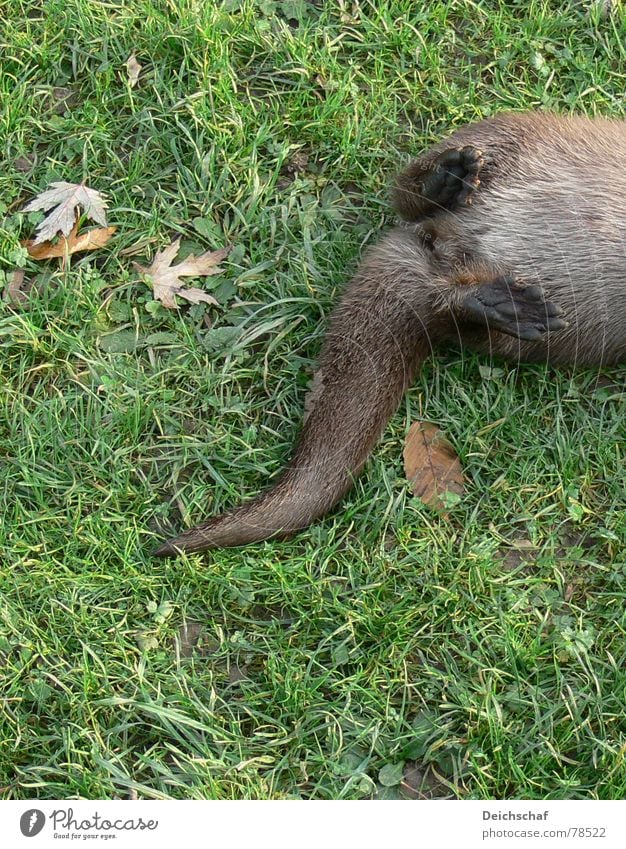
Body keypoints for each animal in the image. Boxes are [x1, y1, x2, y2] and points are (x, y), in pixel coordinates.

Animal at [152, 112, 624, 560]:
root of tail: (435, 247)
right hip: (510, 132)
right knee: (404, 191)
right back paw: (450, 178)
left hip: (555, 329)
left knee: (448, 307)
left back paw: (500, 301)